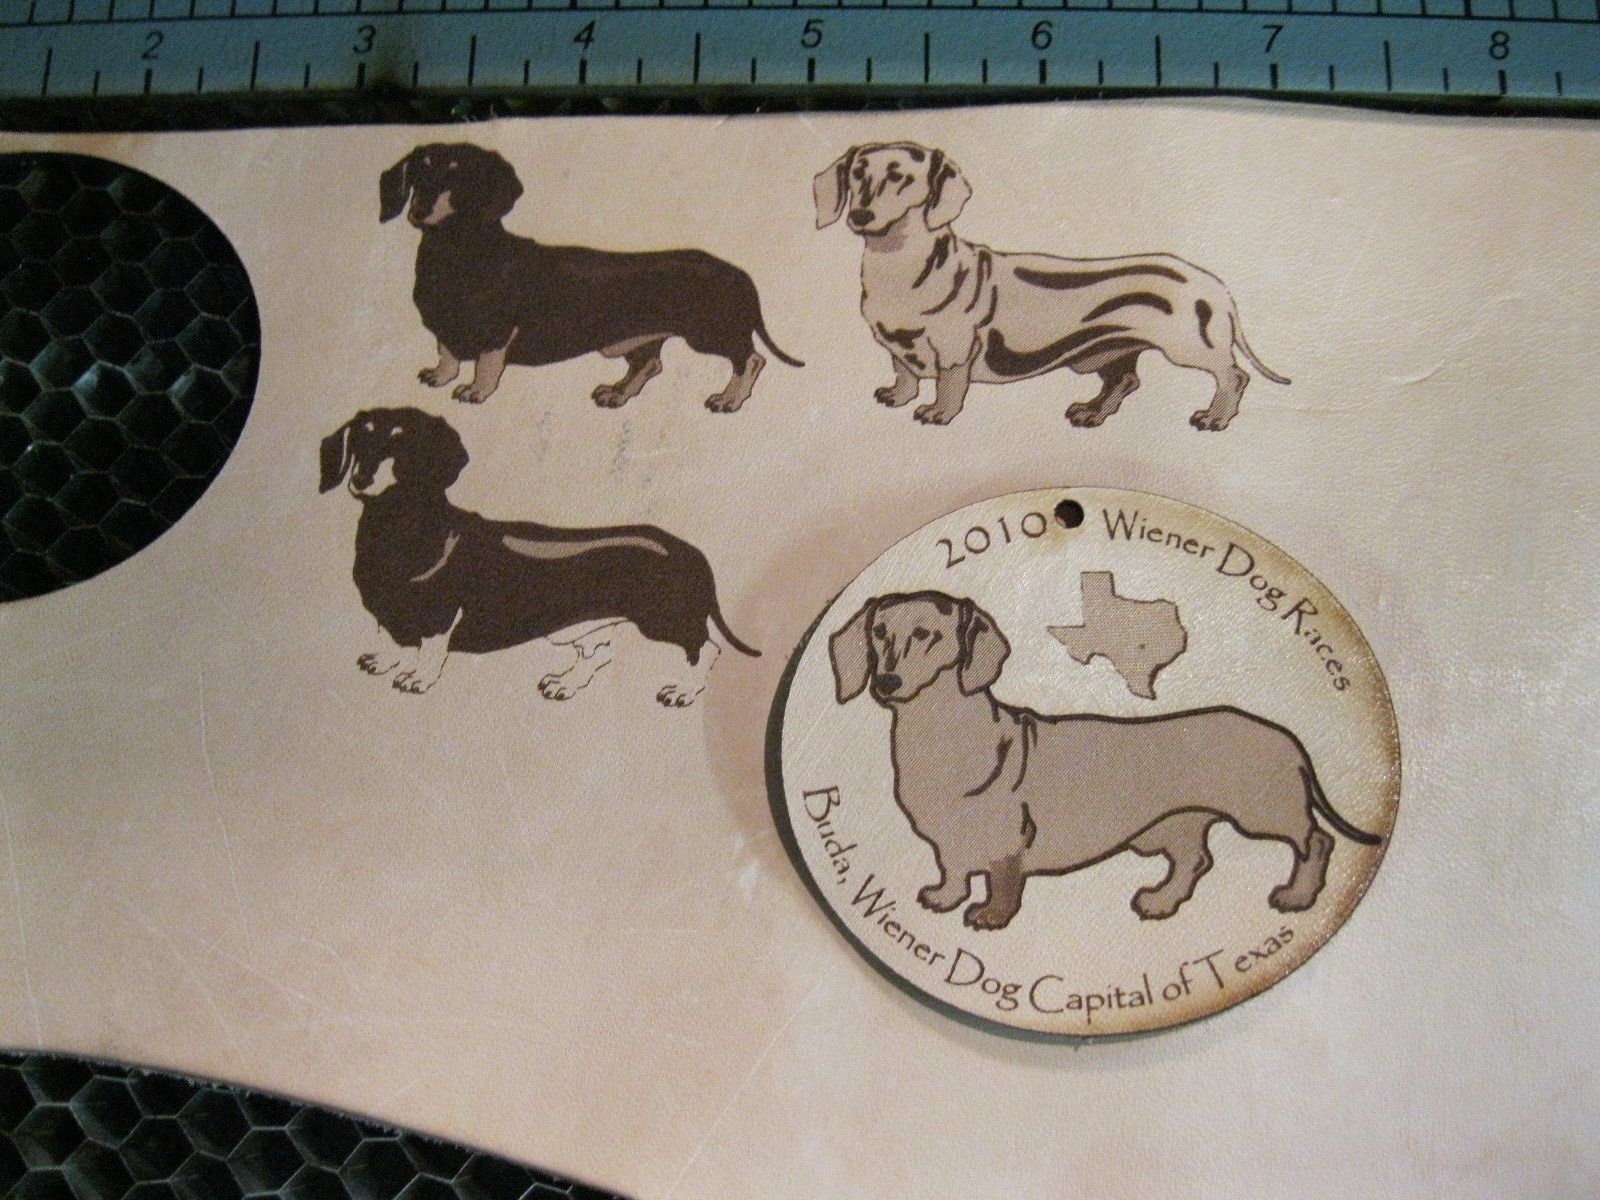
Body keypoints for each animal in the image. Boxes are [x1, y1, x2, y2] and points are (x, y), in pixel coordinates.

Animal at [319, 406, 758, 699]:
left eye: (403, 445)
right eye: (360, 438)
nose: (361, 478)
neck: (397, 530)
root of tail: (690, 551)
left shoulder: (440, 616)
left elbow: (427, 650)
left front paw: (416, 679)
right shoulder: (391, 613)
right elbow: (390, 636)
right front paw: (382, 659)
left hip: (665, 619)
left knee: (705, 648)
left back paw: (682, 691)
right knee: (598, 655)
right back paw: (565, 683)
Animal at [381, 143, 803, 412]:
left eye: (461, 177)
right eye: (419, 172)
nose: (419, 209)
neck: (456, 254)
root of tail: (740, 275)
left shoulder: (496, 332)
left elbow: (485, 364)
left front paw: (475, 391)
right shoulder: (444, 329)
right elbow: (447, 352)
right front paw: (440, 376)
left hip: (710, 332)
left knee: (750, 359)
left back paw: (729, 399)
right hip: (640, 338)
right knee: (648, 364)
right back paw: (617, 394)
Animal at [814, 142, 1289, 431]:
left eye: (900, 177)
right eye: (857, 173)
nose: (859, 216)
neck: (896, 269)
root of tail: (1216, 288)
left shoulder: (954, 347)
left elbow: (947, 385)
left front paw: (937, 412)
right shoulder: (896, 344)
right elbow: (904, 370)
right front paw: (897, 396)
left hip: (1190, 346)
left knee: (1233, 376)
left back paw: (1214, 417)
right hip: (1110, 352)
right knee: (1125, 380)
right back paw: (1092, 412)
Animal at [829, 592, 1380, 930]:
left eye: (927, 634)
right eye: (879, 632)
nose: (887, 684)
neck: (938, 737)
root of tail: (1288, 738)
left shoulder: (1007, 839)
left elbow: (1001, 881)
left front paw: (991, 916)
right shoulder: (949, 841)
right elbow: (954, 869)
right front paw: (945, 898)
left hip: (1265, 811)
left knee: (1316, 842)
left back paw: (1297, 896)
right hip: (1177, 826)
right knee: (1194, 861)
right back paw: (1160, 901)